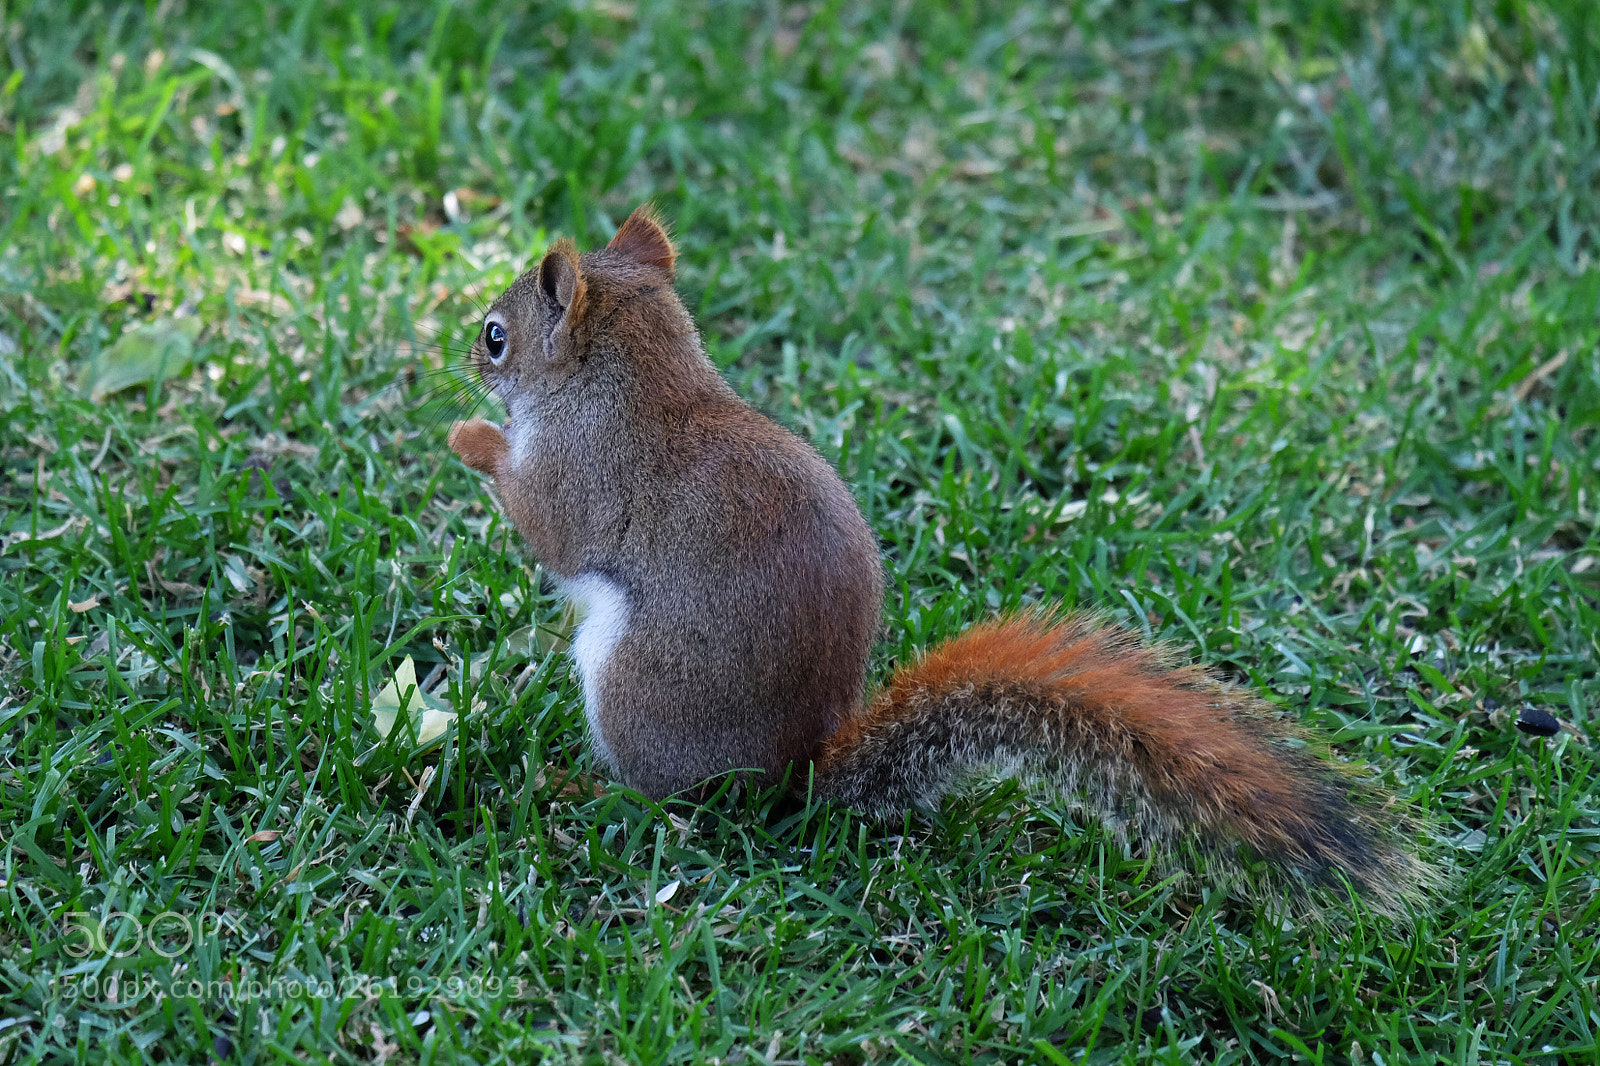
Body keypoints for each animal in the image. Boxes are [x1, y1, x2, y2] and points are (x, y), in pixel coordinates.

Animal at [447, 205, 1432, 913]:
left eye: (499, 336)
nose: (466, 357)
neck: (630, 382)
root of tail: (789, 777)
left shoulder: (586, 473)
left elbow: (550, 530)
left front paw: (472, 438)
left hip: (632, 685)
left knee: (666, 801)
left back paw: (590, 789)